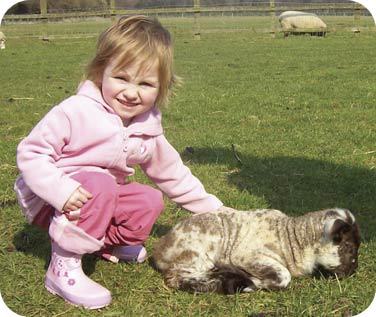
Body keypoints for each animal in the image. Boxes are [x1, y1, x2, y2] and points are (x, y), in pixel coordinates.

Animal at [151, 206, 360, 292]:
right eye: (348, 246)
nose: (353, 271)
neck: (291, 239)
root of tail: (160, 248)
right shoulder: (246, 257)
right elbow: (283, 276)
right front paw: (252, 282)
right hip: (197, 254)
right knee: (176, 278)